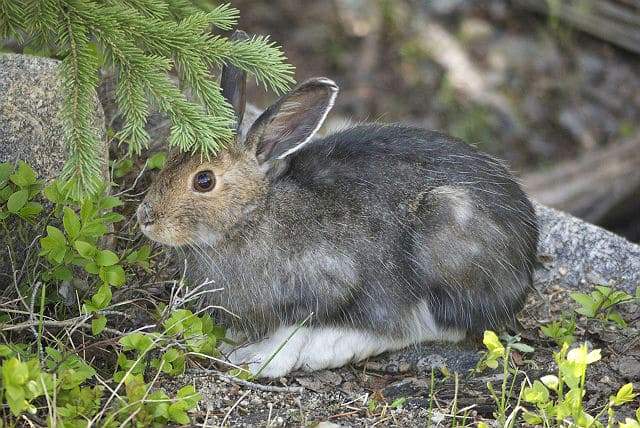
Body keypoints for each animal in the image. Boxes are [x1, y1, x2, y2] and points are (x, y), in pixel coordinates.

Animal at [137, 49, 539, 379]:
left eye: (204, 180)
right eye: (173, 156)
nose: (146, 218)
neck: (254, 214)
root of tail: (525, 266)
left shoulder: (327, 282)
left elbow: (294, 330)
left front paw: (259, 360)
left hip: (445, 231)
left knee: (434, 326)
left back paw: (335, 348)